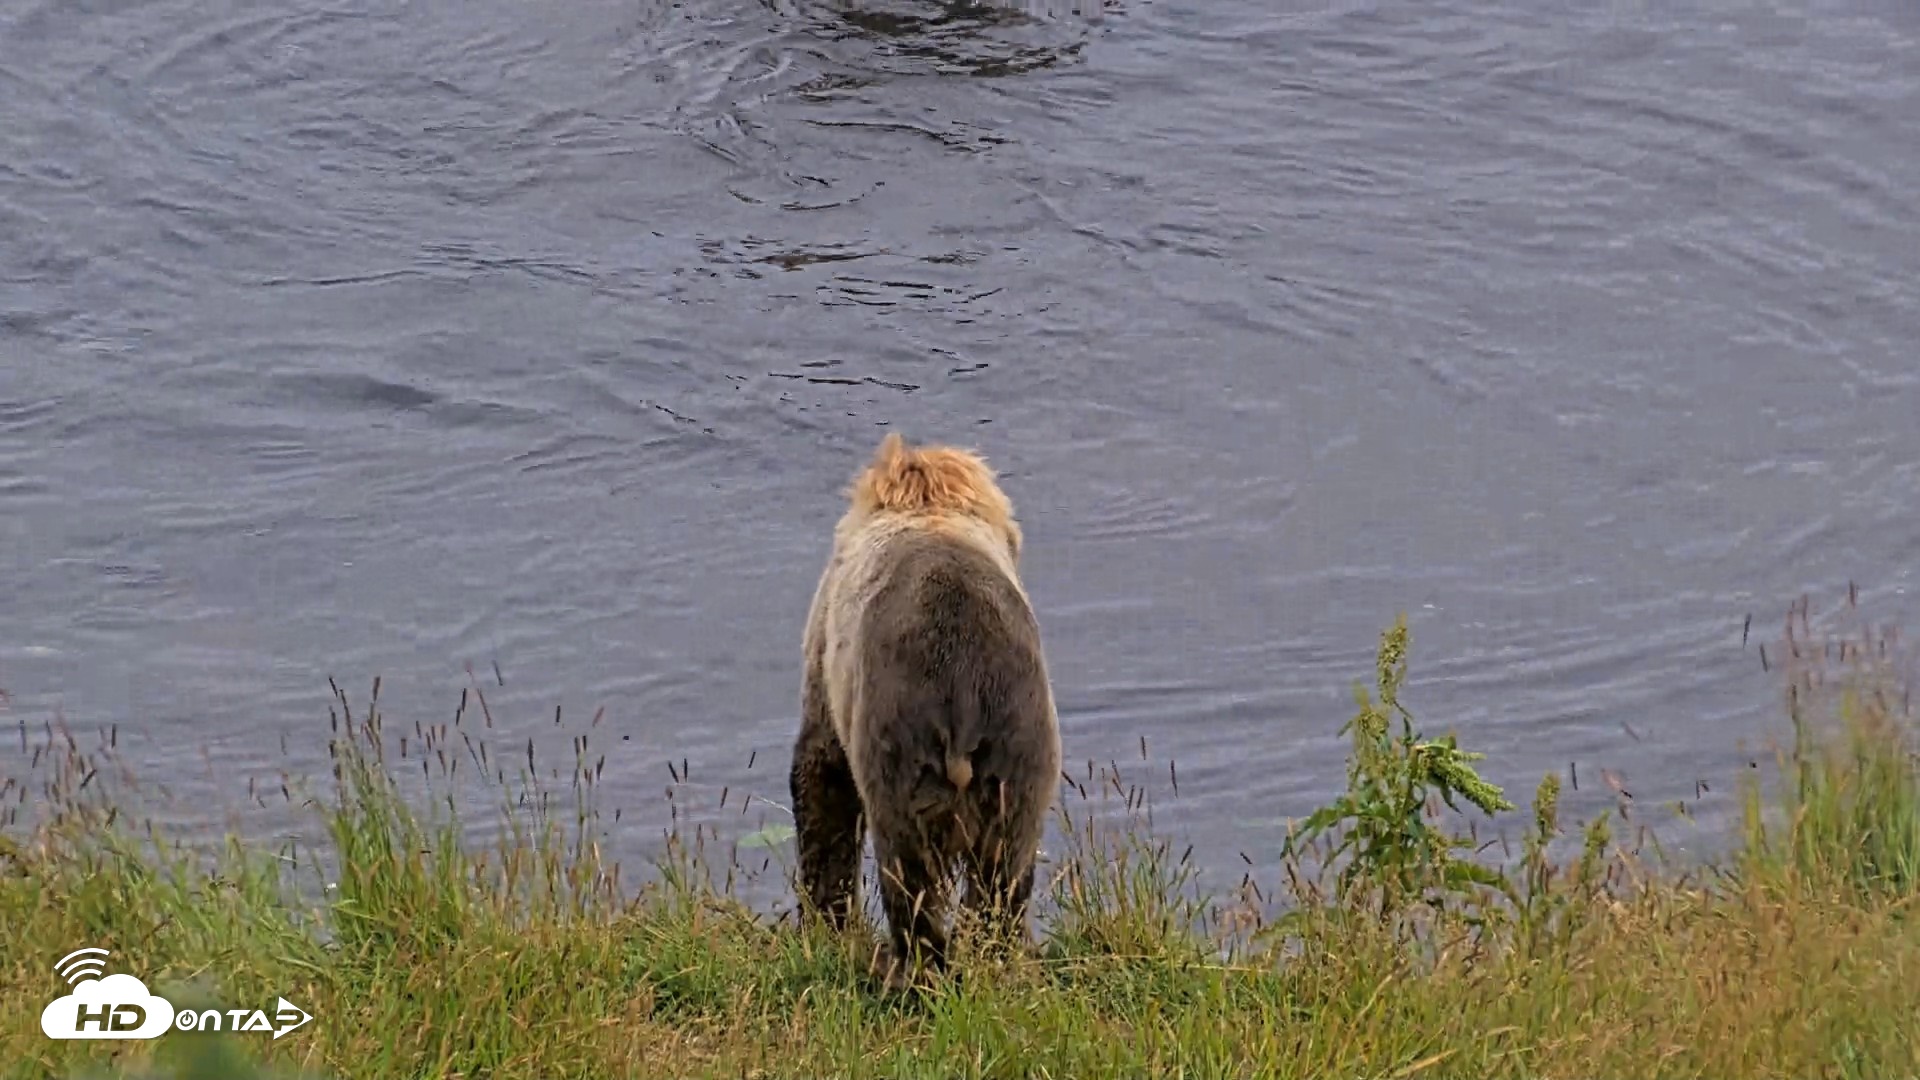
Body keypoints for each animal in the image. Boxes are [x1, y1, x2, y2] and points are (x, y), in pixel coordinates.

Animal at [789, 431, 1062, 992]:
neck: (928, 507)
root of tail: (963, 683)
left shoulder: (827, 660)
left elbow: (822, 777)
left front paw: (824, 926)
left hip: (898, 743)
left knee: (909, 872)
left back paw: (908, 969)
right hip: (1020, 747)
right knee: (1004, 873)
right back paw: (998, 961)